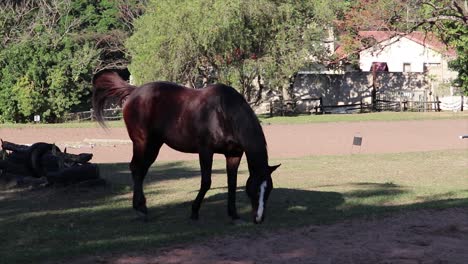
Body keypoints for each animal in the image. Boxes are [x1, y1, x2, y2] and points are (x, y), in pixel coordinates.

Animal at [93, 70, 280, 223]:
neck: (224, 113)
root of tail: (134, 91)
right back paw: (141, 209)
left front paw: (233, 214)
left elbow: (232, 183)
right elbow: (206, 182)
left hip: (154, 145)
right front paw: (194, 211)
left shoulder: (234, 154)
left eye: (269, 190)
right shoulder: (206, 151)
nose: (259, 218)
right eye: (256, 190)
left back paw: (141, 206)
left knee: (141, 169)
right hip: (142, 142)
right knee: (136, 168)